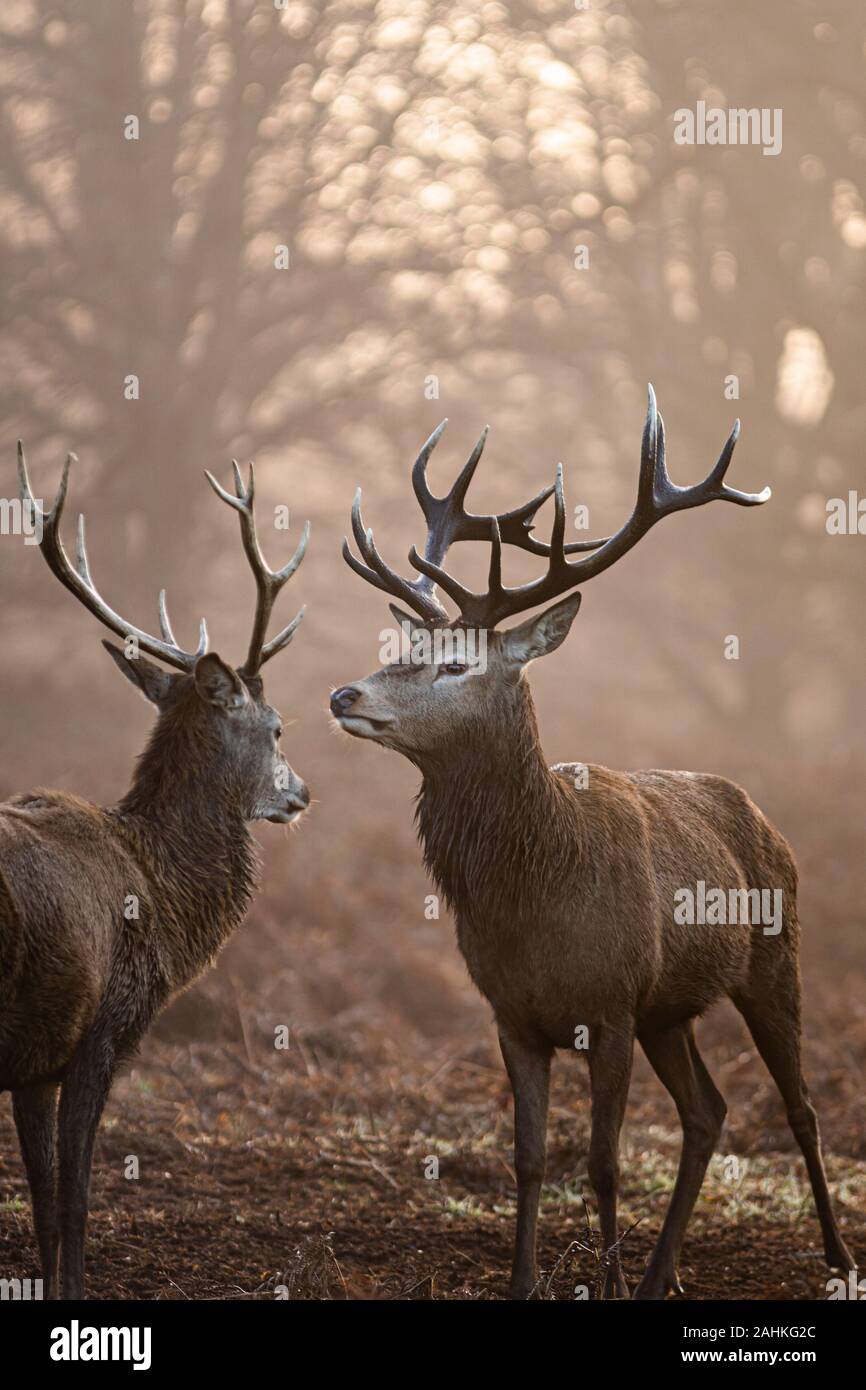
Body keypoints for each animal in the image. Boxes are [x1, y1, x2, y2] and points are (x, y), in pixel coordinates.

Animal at [0, 447, 309, 1301]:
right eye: (277, 728)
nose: (302, 793)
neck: (164, 897)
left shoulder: (35, 1061)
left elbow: (43, 1201)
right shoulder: (99, 1031)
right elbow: (73, 1203)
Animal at [333, 391, 861, 1301]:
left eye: (455, 666)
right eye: (403, 648)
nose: (343, 694)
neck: (536, 894)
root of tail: (764, 816)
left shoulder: (610, 1007)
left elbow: (605, 1164)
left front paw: (602, 1283)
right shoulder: (513, 1014)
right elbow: (530, 1159)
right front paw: (523, 1284)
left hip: (773, 956)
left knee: (799, 1106)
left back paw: (837, 1257)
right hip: (670, 1009)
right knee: (708, 1111)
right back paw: (660, 1277)